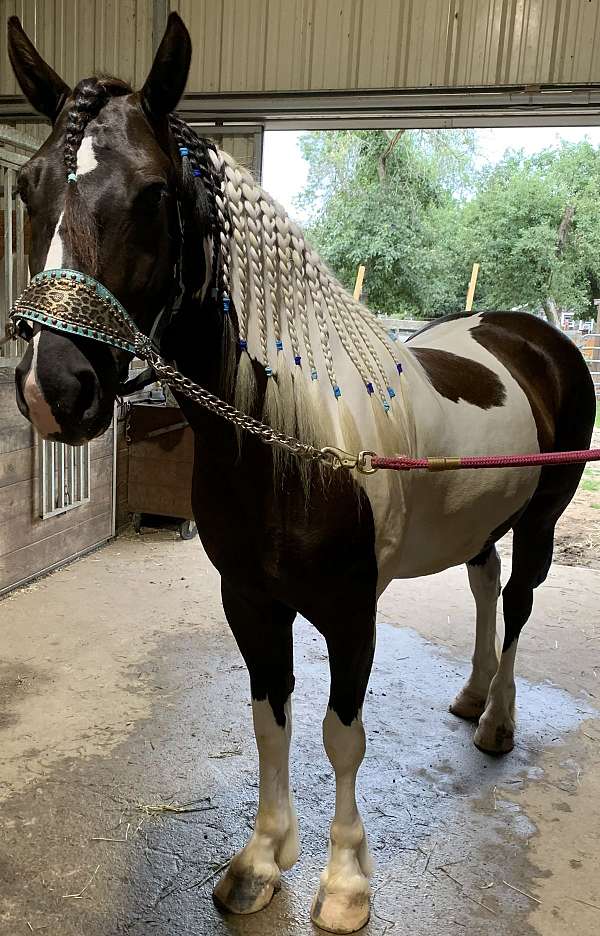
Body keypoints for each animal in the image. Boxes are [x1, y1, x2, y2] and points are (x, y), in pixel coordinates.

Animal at [5, 16, 596, 936]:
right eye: (29, 187)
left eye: (153, 194)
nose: (51, 389)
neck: (289, 445)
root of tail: (532, 334)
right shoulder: (250, 599)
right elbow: (269, 719)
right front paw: (261, 861)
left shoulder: (353, 612)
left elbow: (340, 734)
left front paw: (344, 883)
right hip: (481, 522)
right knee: (484, 582)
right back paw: (469, 697)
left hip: (543, 520)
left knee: (521, 601)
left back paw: (497, 722)